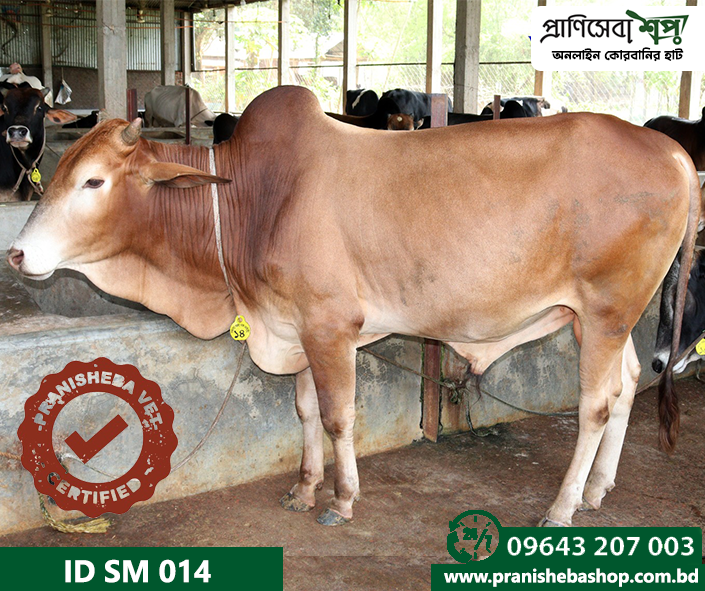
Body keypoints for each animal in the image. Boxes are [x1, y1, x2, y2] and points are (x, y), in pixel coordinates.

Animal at [7, 86, 700, 529]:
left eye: (94, 180)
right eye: (59, 170)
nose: (15, 253)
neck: (252, 196)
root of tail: (671, 152)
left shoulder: (329, 327)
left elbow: (339, 416)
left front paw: (341, 501)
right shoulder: (296, 327)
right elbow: (305, 410)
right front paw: (304, 487)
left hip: (606, 312)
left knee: (595, 406)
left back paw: (561, 507)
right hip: (600, 321)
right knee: (628, 385)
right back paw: (597, 491)